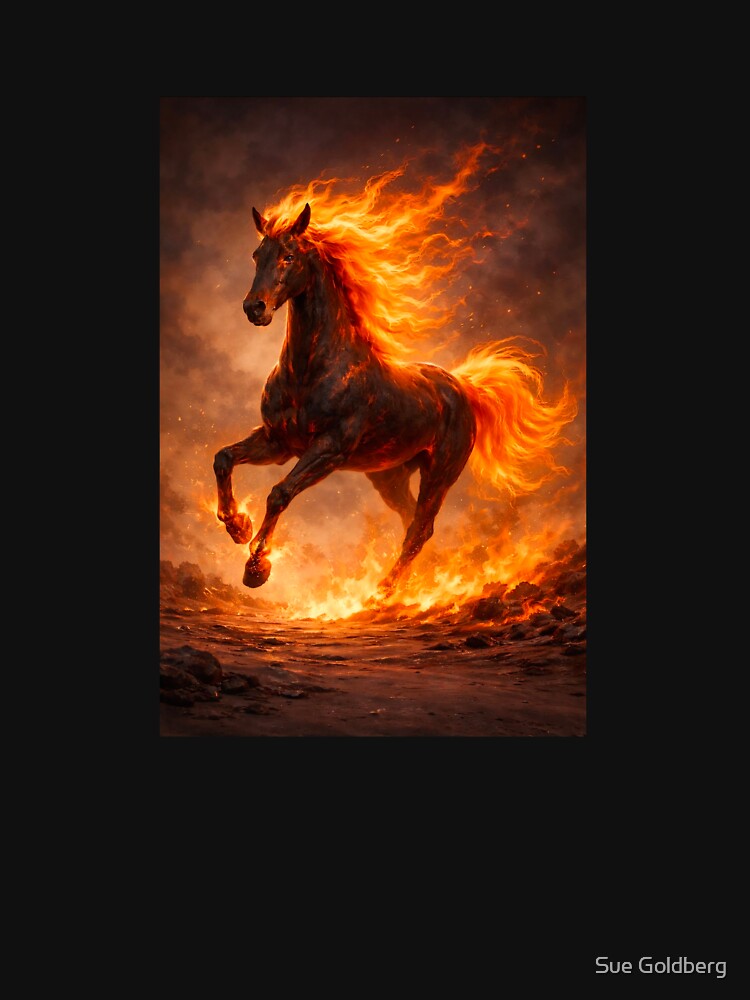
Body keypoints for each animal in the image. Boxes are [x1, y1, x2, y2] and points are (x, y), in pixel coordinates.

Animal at [214, 201, 576, 597]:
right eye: (257, 254)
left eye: (289, 256)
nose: (254, 308)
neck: (311, 371)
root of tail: (463, 388)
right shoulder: (278, 442)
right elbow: (223, 458)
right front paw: (238, 526)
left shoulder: (328, 450)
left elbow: (279, 492)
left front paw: (255, 568)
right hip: (390, 477)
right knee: (410, 521)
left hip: (439, 474)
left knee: (420, 528)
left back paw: (383, 591)